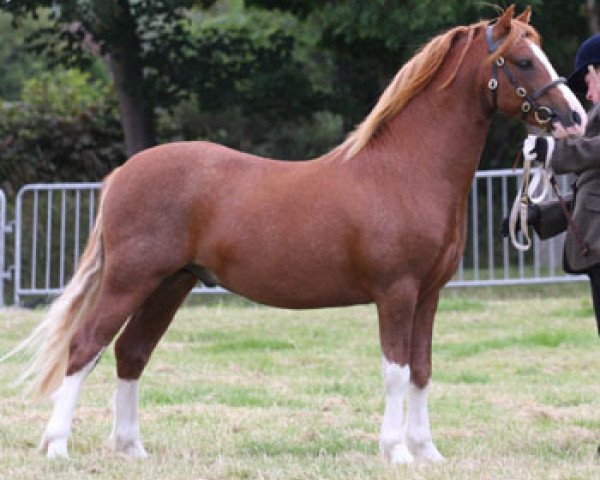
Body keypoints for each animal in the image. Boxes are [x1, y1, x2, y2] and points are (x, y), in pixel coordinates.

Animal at [4, 6, 584, 462]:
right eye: (524, 60)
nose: (575, 118)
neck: (404, 170)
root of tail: (121, 174)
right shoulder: (396, 293)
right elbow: (396, 371)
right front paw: (396, 451)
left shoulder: (429, 295)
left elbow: (421, 369)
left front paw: (427, 452)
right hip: (131, 279)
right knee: (87, 346)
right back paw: (57, 445)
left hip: (172, 283)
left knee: (132, 352)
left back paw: (131, 449)